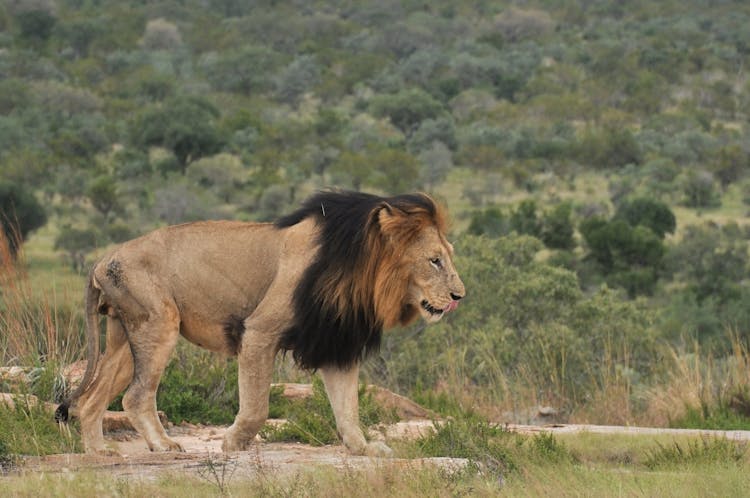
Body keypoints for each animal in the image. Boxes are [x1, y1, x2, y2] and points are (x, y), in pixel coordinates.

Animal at [58, 191, 468, 456]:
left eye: (447, 256)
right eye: (434, 260)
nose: (459, 295)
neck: (361, 275)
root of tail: (102, 259)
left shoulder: (335, 343)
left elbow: (348, 408)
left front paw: (363, 448)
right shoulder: (259, 330)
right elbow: (257, 406)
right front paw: (233, 443)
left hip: (126, 336)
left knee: (93, 398)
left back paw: (99, 451)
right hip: (159, 323)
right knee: (136, 395)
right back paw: (163, 445)